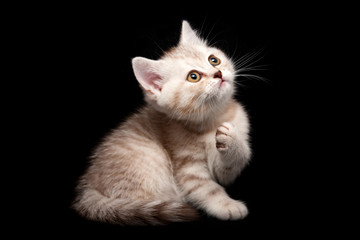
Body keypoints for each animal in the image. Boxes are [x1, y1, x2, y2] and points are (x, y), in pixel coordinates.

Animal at [72, 21, 253, 225]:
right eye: (193, 76)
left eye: (213, 60)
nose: (218, 73)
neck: (213, 118)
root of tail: (88, 187)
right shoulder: (187, 167)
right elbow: (207, 189)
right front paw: (227, 206)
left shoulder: (223, 168)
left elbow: (234, 163)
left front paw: (232, 141)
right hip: (149, 162)